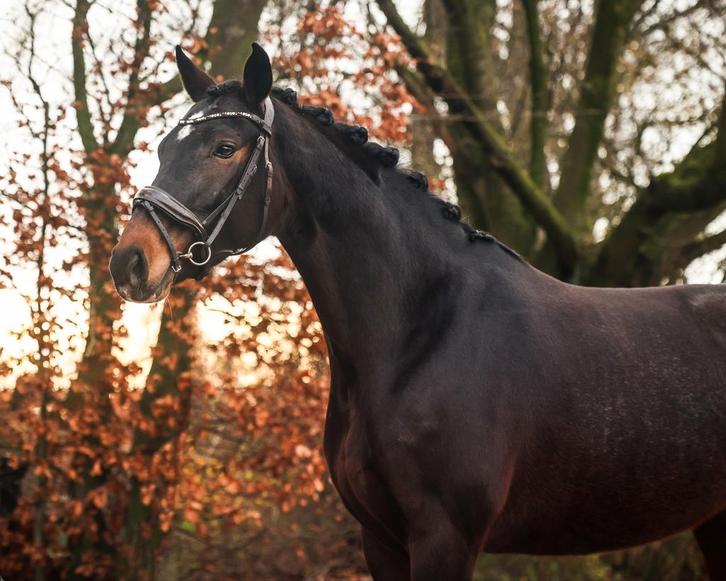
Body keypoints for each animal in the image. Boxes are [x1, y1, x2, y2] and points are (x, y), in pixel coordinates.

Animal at [109, 44, 726, 580]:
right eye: (163, 149)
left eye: (224, 148)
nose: (129, 261)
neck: (422, 333)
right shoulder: (380, 538)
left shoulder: (444, 538)